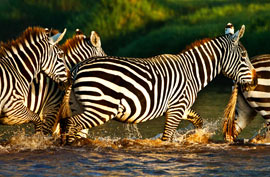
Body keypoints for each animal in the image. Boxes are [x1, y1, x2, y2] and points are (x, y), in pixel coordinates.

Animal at [60, 24, 256, 144]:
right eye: (244, 56)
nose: (255, 81)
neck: (191, 72)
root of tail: (77, 68)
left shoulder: (180, 106)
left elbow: (198, 120)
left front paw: (197, 138)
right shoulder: (176, 109)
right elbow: (166, 138)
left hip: (78, 105)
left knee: (69, 125)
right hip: (102, 108)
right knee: (71, 124)